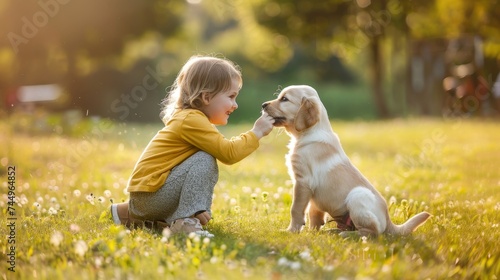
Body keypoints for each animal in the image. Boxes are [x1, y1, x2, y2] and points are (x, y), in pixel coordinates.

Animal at [262, 85, 430, 236]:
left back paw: (345, 234)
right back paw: (333, 231)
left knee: (372, 232)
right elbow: (313, 212)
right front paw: (312, 232)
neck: (308, 133)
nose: (263, 105)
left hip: (357, 195)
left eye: (284, 99)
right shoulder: (311, 192)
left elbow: (296, 209)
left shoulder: (303, 181)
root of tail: (389, 221)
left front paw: (291, 231)